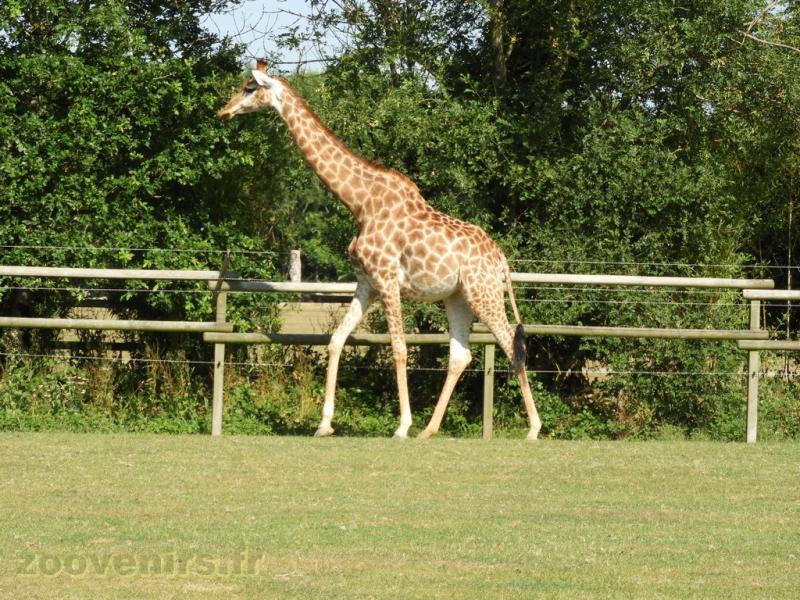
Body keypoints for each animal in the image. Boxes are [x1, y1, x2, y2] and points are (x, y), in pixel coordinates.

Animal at [218, 62, 542, 440]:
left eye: (249, 88)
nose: (223, 111)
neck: (359, 203)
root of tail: (501, 259)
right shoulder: (367, 283)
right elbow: (336, 339)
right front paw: (324, 424)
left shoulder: (387, 280)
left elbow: (399, 349)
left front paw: (401, 425)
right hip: (458, 297)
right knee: (460, 355)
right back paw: (429, 430)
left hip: (483, 293)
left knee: (510, 343)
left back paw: (532, 428)